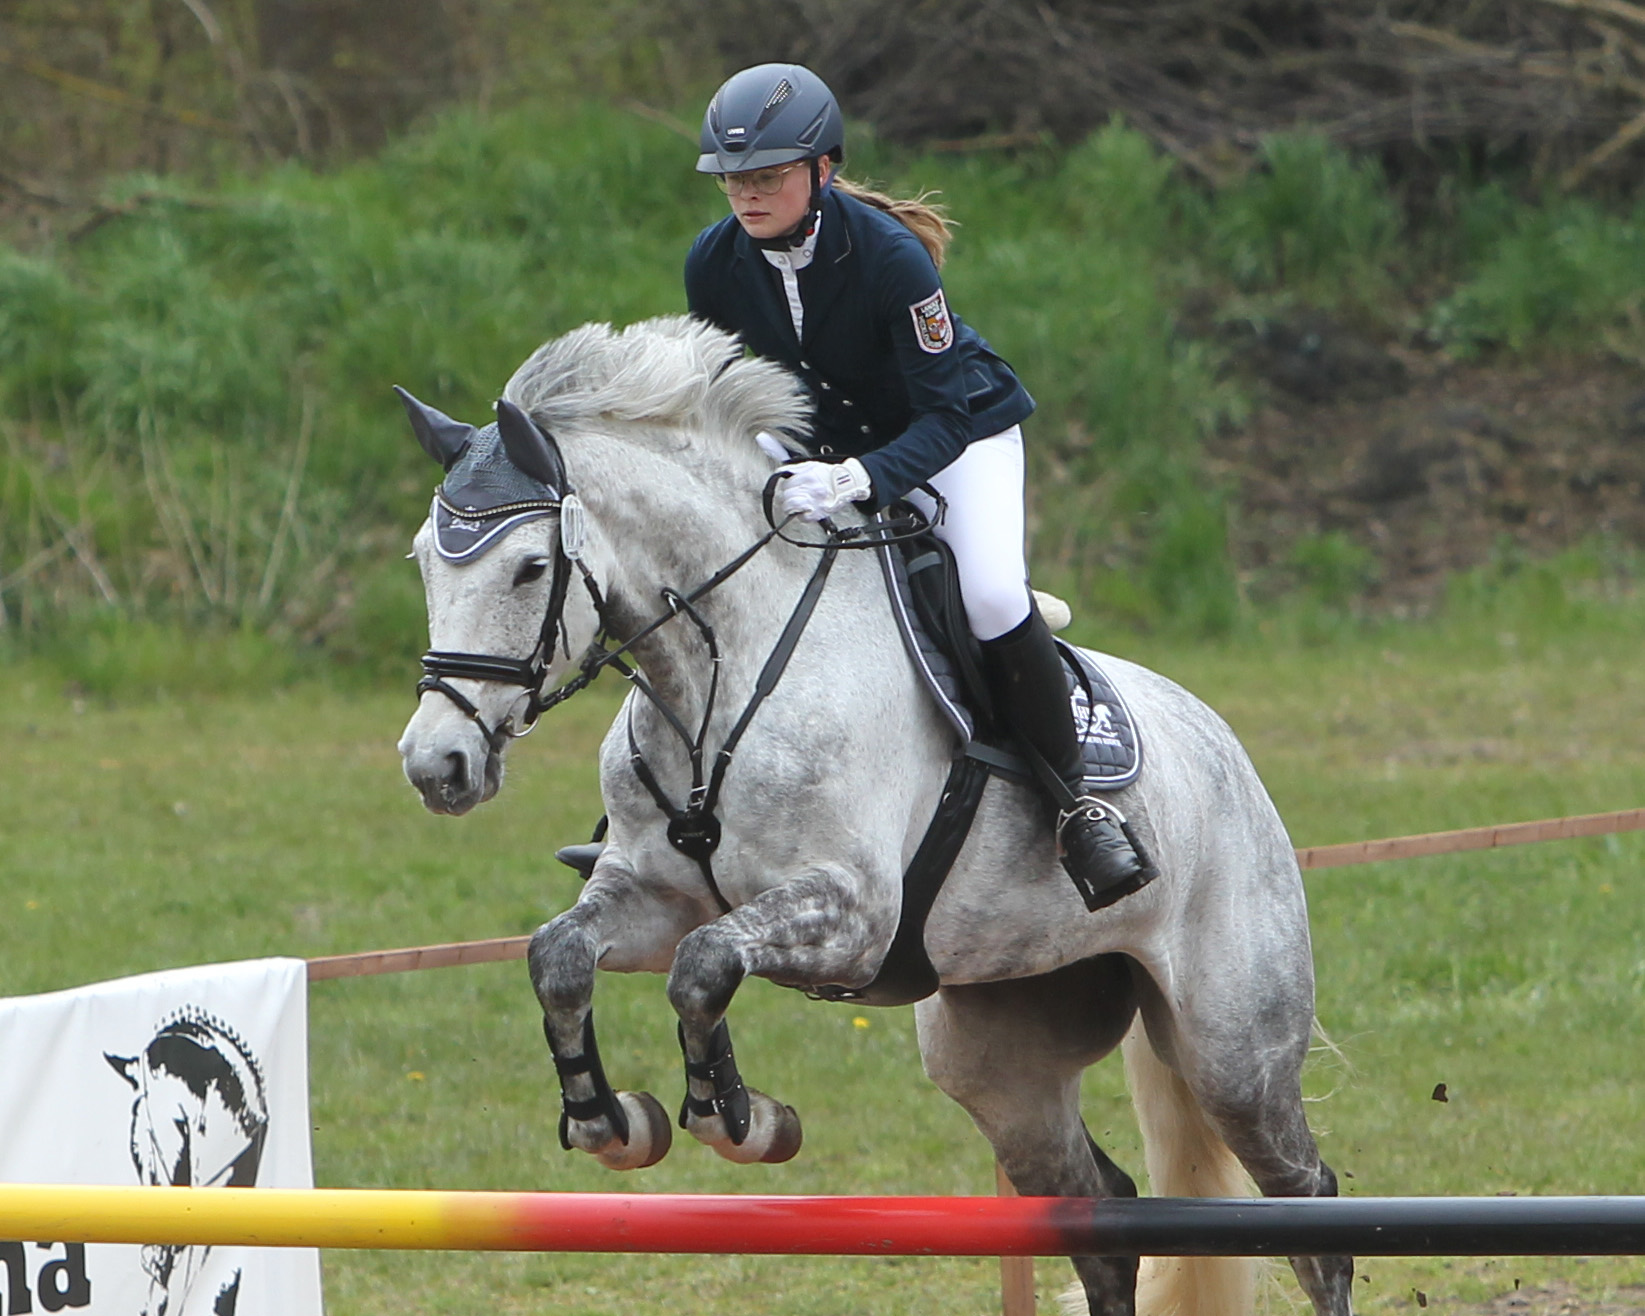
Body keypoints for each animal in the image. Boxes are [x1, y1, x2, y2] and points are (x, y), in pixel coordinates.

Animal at [398, 315, 1348, 1316]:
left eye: (529, 567)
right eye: (423, 561)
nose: (436, 766)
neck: (718, 671)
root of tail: (1224, 748)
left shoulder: (853, 915)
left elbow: (703, 967)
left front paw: (740, 1121)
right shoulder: (650, 898)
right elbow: (564, 956)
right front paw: (606, 1118)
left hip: (1233, 1051)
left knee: (1310, 1206)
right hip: (1000, 1052)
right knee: (1100, 1209)